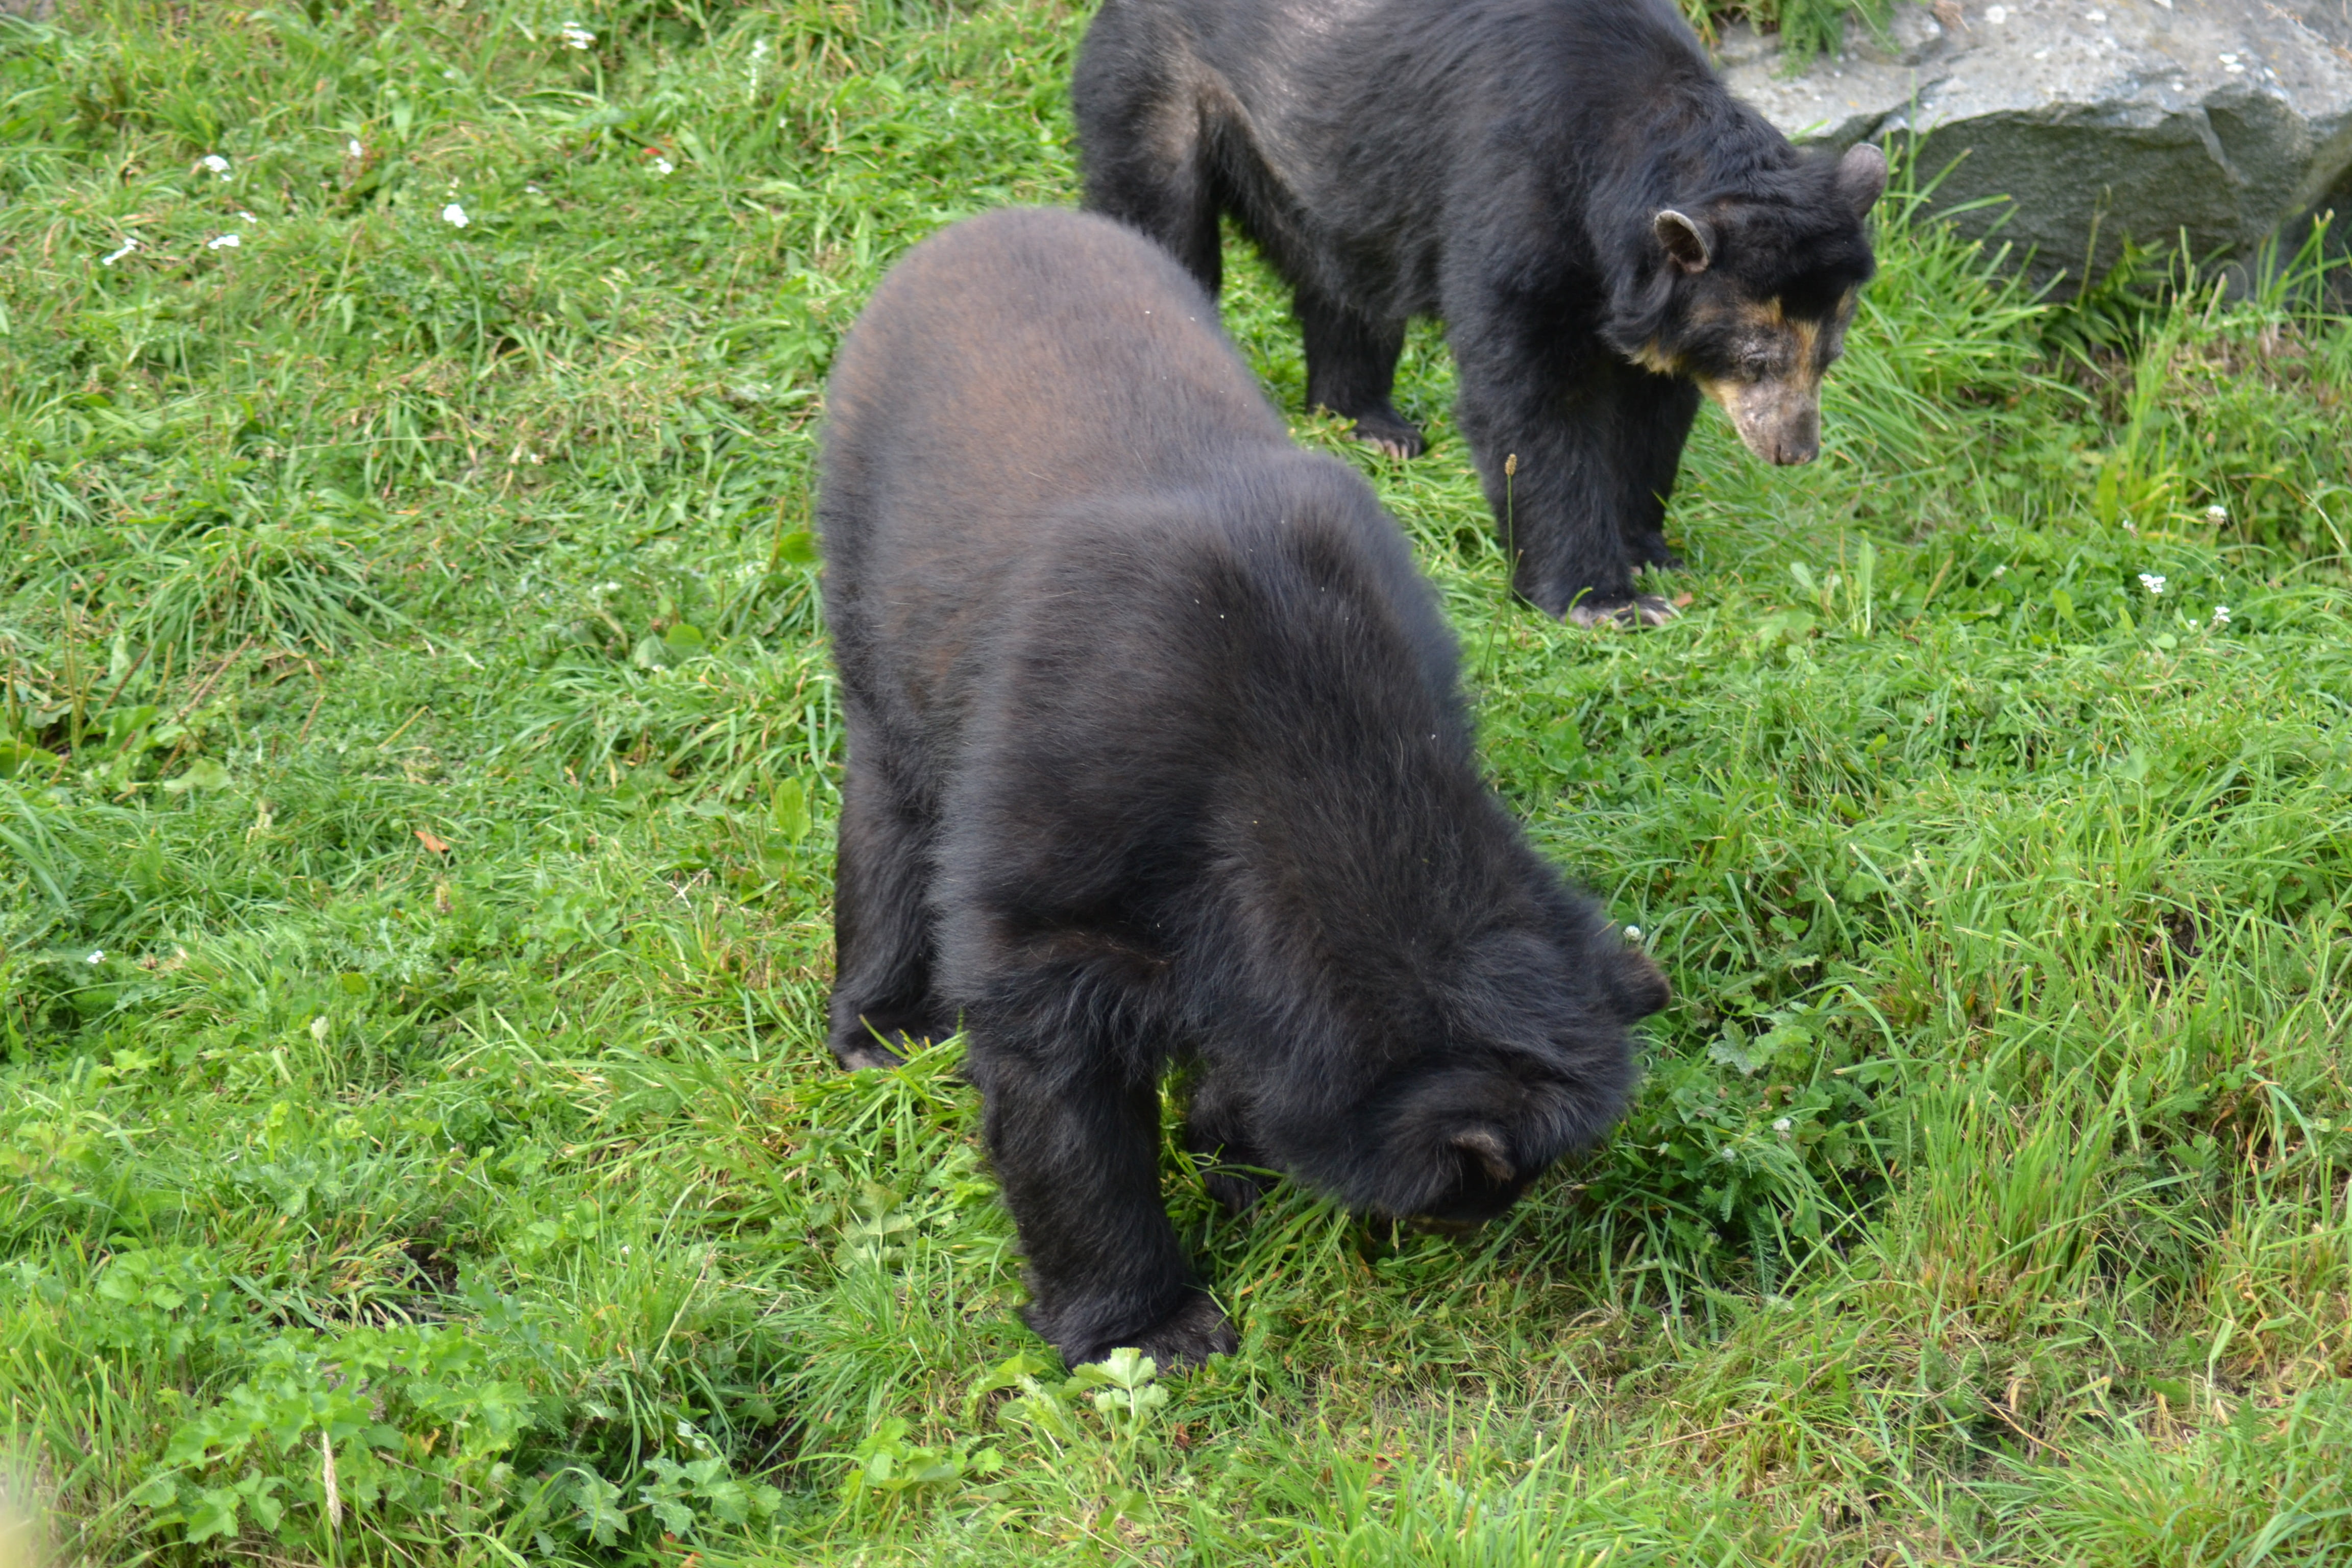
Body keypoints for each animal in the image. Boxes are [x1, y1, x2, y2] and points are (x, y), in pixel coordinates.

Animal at [817, 208, 1668, 1371]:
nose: (1477, 1222)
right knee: (893, 796)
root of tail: (974, 228)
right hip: (871, 574)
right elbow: (1049, 1067)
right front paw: (1151, 1327)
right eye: (1462, 1195)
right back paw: (882, 1029)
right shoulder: (1062, 838)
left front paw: (1227, 1143)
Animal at [1072, 0, 1887, 627]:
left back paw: (1373, 425)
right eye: (1757, 357)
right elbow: (1527, 400)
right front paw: (1607, 604)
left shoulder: (1654, 315)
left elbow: (1653, 412)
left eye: (1830, 357)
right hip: (1158, 89)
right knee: (1158, 227)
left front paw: (1652, 552)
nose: (1793, 451)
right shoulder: (1515, 196)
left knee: (1348, 283)